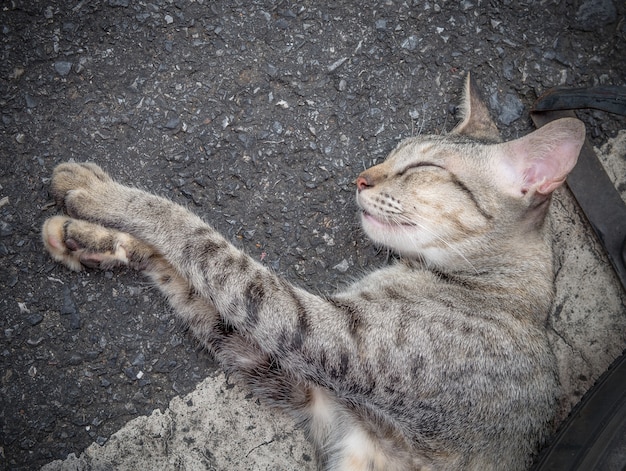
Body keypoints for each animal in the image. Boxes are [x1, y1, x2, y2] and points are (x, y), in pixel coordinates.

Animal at [41, 75, 584, 470]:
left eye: (421, 168)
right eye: (392, 154)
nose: (361, 177)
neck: (486, 280)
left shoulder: (320, 335)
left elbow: (196, 237)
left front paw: (103, 197)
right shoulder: (308, 393)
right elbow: (180, 272)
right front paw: (84, 236)